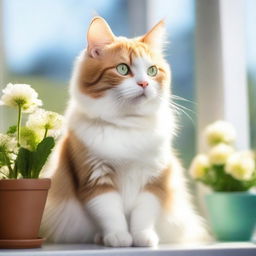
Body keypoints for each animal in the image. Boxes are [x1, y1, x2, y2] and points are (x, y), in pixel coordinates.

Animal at [41, 15, 210, 246]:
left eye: (152, 71)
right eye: (122, 69)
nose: (144, 83)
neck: (127, 125)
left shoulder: (155, 178)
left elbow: (144, 213)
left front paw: (143, 237)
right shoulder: (94, 177)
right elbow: (110, 212)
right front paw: (118, 237)